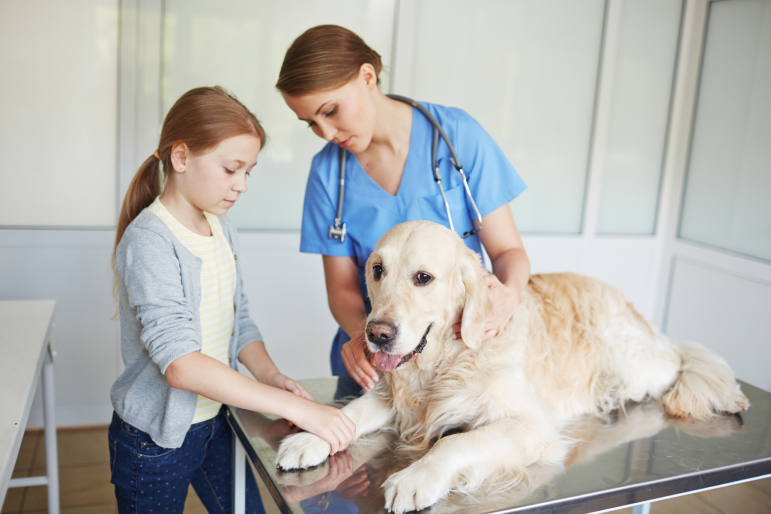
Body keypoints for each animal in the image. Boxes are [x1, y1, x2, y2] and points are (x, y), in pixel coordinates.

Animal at [276, 220, 748, 512]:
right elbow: (352, 413)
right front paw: (311, 437)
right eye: (377, 270)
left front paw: (415, 478)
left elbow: (454, 444)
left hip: (636, 361)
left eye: (423, 278)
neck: (445, 360)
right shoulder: (398, 397)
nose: (377, 334)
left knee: (679, 357)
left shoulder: (529, 425)